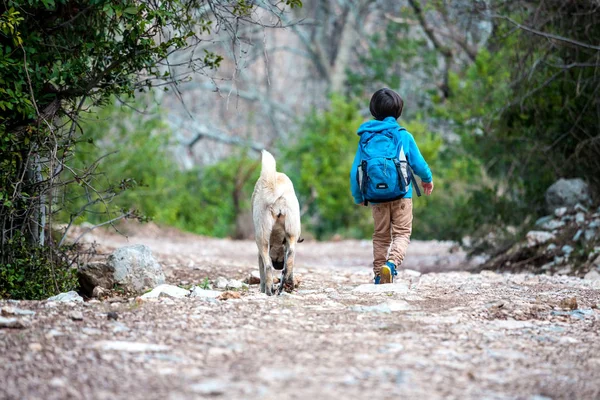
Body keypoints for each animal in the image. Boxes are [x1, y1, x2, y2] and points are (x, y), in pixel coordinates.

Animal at [252, 149, 302, 294]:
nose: (279, 266)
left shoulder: (261, 249)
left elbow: (262, 269)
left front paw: (263, 288)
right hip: (292, 233)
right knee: (290, 259)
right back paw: (286, 285)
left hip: (261, 238)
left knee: (268, 267)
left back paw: (269, 291)